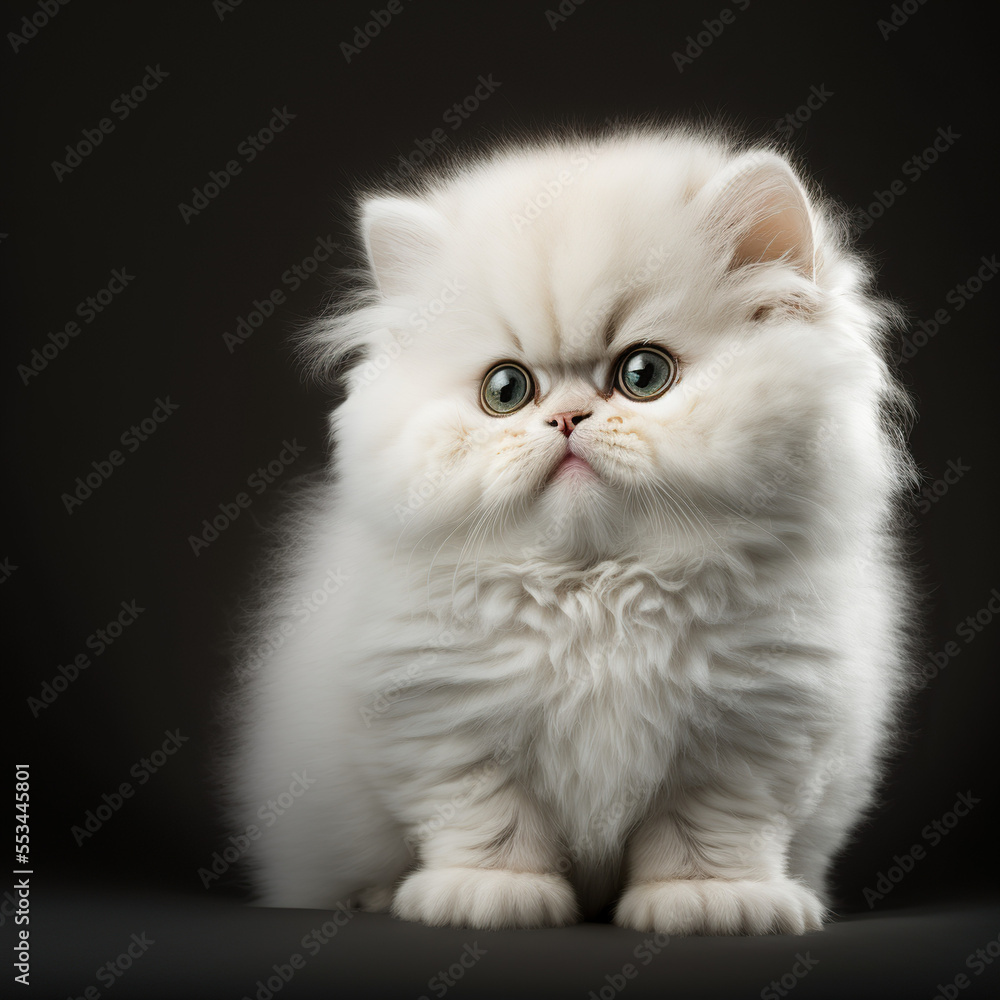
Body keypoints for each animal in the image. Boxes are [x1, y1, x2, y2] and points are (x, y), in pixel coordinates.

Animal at [227, 127, 916, 936]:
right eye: (506, 390)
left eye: (643, 374)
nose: (564, 419)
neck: (597, 590)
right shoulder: (445, 721)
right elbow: (489, 822)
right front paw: (487, 895)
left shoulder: (754, 732)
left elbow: (708, 833)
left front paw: (709, 902)